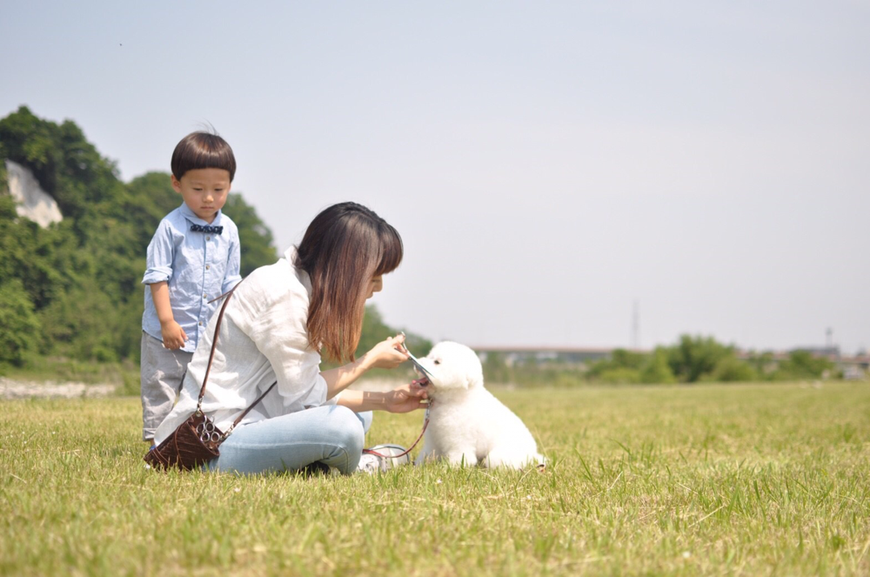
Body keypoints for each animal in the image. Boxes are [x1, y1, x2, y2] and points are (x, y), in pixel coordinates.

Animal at [416, 342, 544, 468]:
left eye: (436, 362)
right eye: (429, 356)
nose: (417, 363)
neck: (455, 400)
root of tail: (533, 454)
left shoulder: (459, 440)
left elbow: (461, 457)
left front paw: (451, 467)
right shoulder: (433, 439)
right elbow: (428, 453)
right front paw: (419, 464)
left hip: (499, 456)